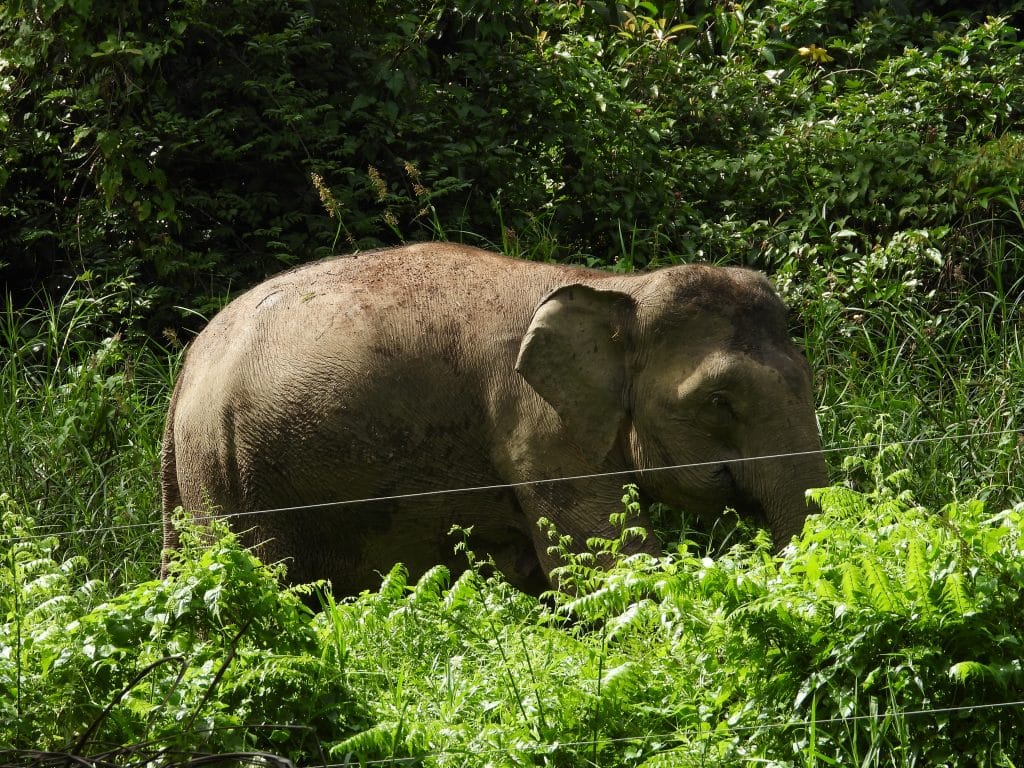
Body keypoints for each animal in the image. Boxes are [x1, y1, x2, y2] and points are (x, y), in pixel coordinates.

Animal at [161, 244, 831, 593]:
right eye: (718, 402)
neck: (617, 288)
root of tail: (183, 374)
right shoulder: (535, 423)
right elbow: (605, 562)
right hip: (231, 480)